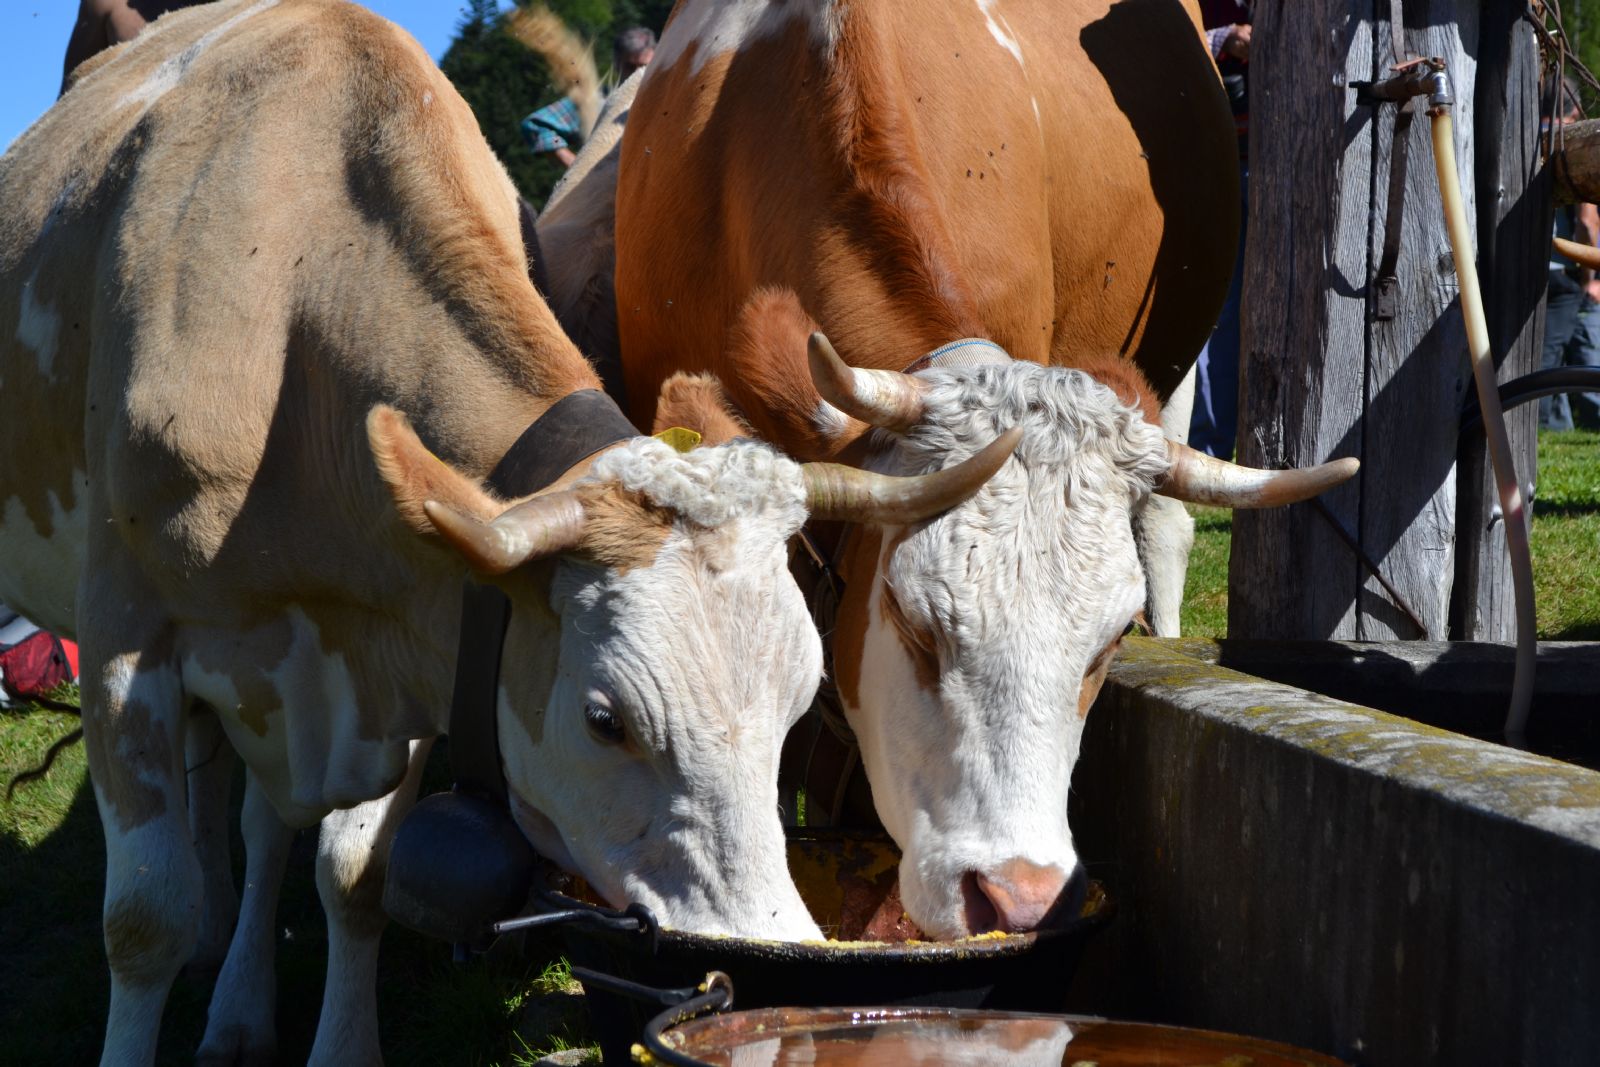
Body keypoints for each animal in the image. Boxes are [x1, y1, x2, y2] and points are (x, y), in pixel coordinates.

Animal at [0, 1, 1017, 1062]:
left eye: (797, 701)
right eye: (605, 719)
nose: (768, 942)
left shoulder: (407, 635)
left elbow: (355, 874)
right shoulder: (125, 643)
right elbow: (143, 919)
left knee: (265, 814)